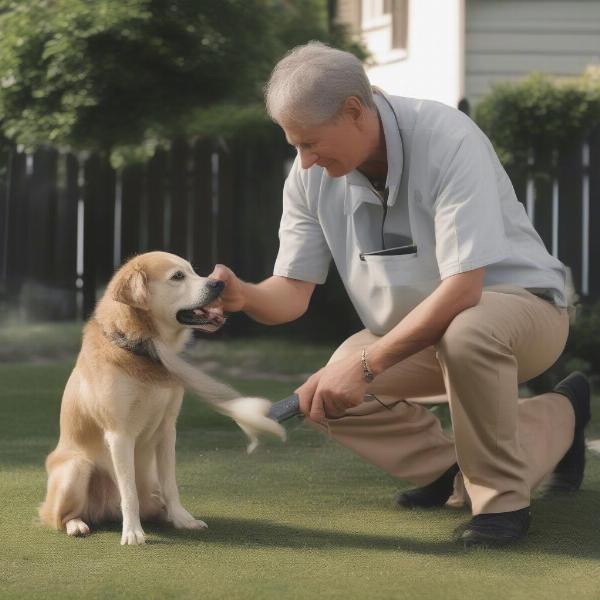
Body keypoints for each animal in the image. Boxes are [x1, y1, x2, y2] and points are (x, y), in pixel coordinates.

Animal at [38, 251, 284, 548]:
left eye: (194, 271)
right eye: (177, 277)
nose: (219, 284)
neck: (143, 348)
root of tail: (105, 511)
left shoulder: (167, 430)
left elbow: (171, 484)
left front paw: (182, 519)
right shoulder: (120, 435)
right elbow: (129, 492)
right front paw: (133, 532)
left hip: (148, 481)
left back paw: (165, 516)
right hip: (77, 468)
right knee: (58, 516)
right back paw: (77, 524)